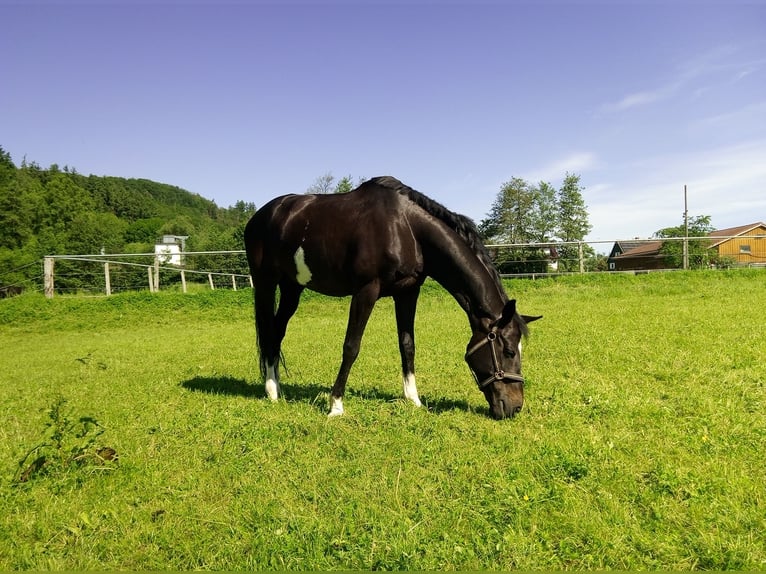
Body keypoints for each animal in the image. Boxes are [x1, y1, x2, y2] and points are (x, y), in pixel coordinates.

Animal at [244, 178, 540, 420]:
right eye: (509, 351)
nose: (515, 407)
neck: (406, 228)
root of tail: (261, 216)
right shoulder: (366, 291)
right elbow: (351, 346)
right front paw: (336, 405)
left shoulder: (407, 292)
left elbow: (407, 345)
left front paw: (414, 400)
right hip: (265, 284)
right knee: (269, 332)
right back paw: (271, 391)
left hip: (292, 288)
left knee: (277, 333)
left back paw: (277, 386)